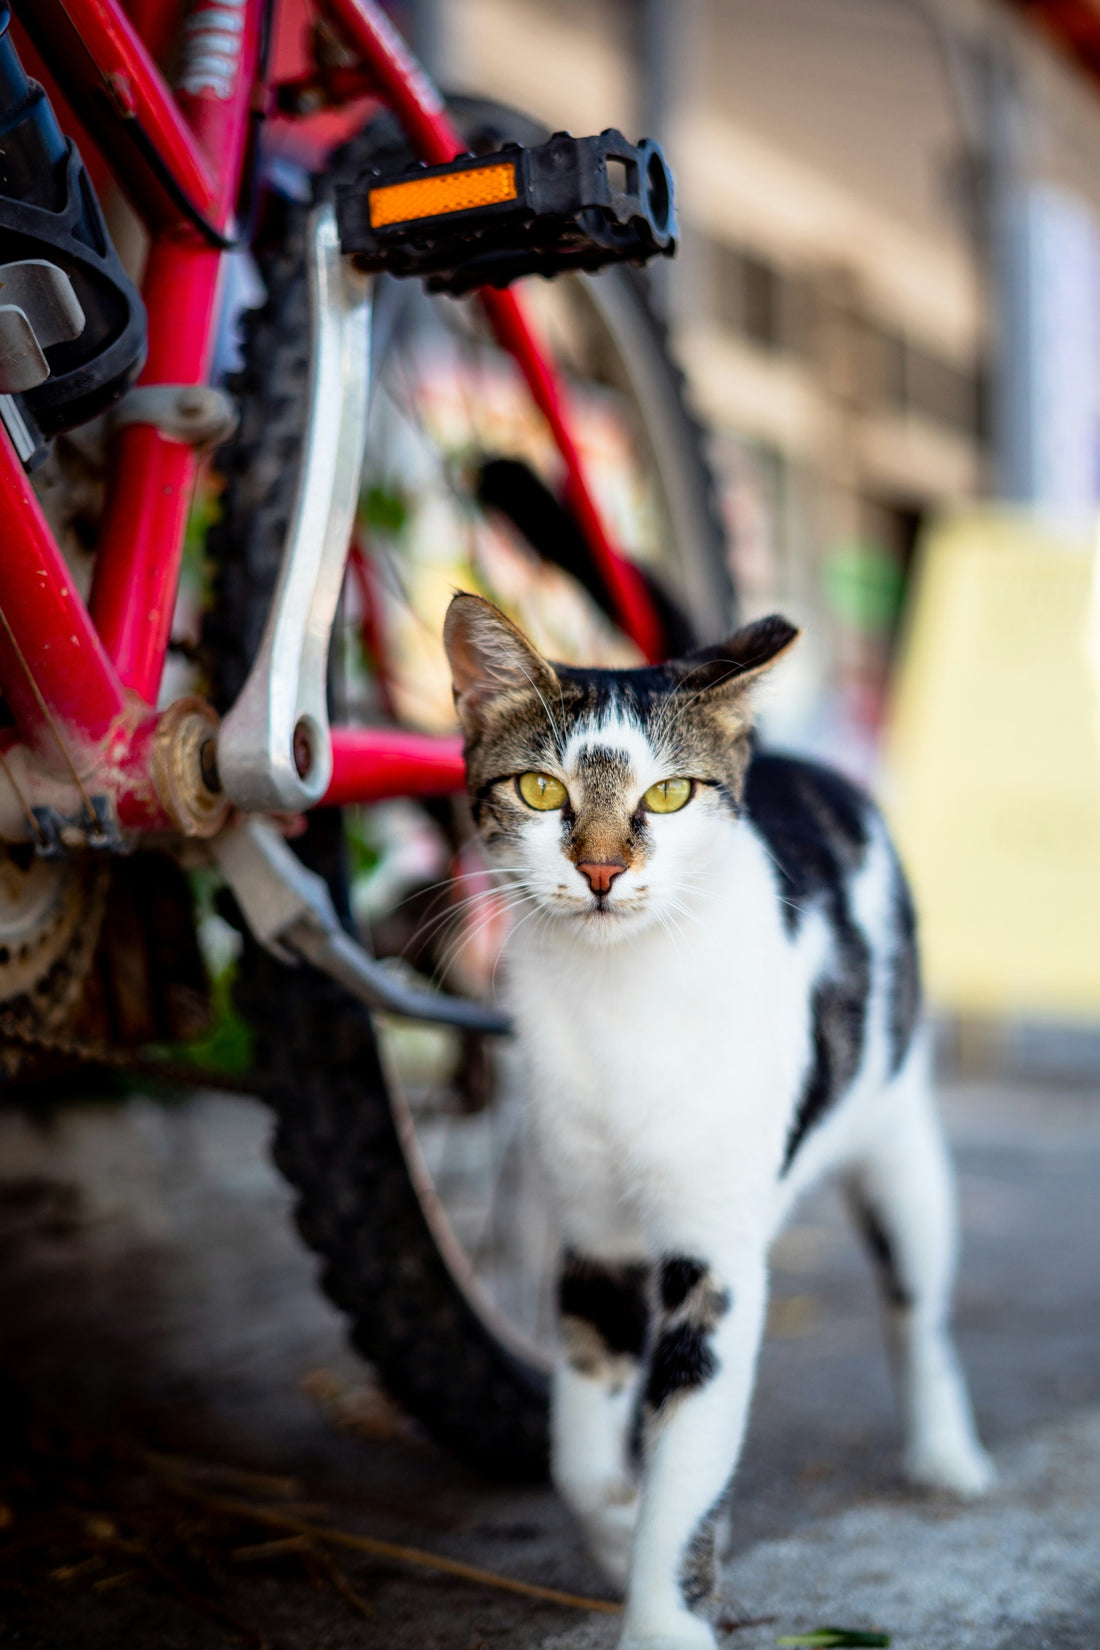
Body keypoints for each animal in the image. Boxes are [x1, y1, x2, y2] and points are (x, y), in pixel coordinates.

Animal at [441, 594, 996, 1650]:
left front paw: (663, 1615)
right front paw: (618, 1525)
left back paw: (947, 1454)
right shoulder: (594, 1237)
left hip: (900, 1134)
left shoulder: (716, 1258)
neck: (620, 1001)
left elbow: (691, 1455)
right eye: (538, 789)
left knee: (919, 1307)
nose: (602, 870)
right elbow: (578, 1451)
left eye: (667, 797)